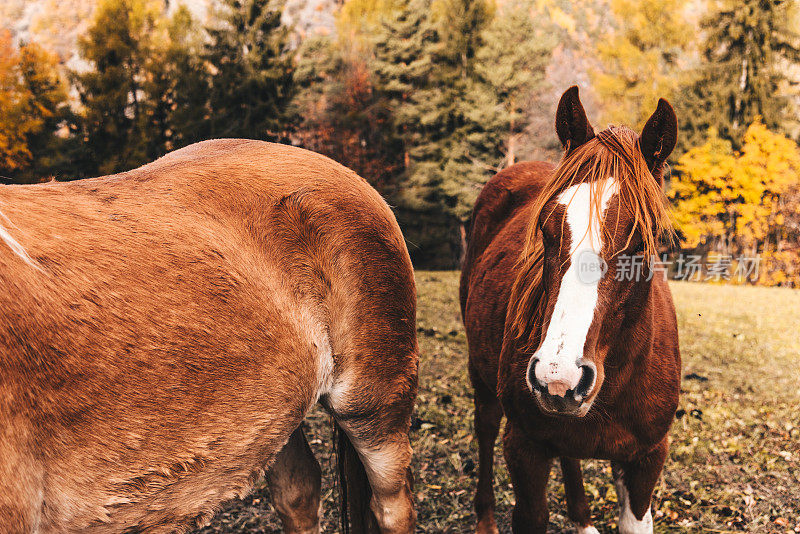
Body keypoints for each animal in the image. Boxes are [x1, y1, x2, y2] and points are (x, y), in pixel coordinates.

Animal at [462, 89, 680, 534]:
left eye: (640, 242)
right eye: (546, 230)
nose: (557, 376)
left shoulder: (646, 461)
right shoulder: (524, 449)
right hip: (482, 377)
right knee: (485, 428)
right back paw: (486, 519)